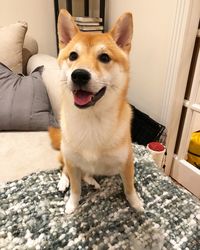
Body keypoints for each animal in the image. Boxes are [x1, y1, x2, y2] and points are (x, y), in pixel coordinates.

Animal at [55, 9, 144, 213]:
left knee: (88, 173)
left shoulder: (127, 161)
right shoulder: (72, 161)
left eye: (104, 57)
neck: (91, 121)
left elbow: (129, 187)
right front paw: (72, 204)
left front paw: (135, 203)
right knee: (64, 169)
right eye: (73, 56)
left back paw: (92, 181)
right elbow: (76, 188)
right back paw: (64, 182)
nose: (79, 75)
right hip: (66, 152)